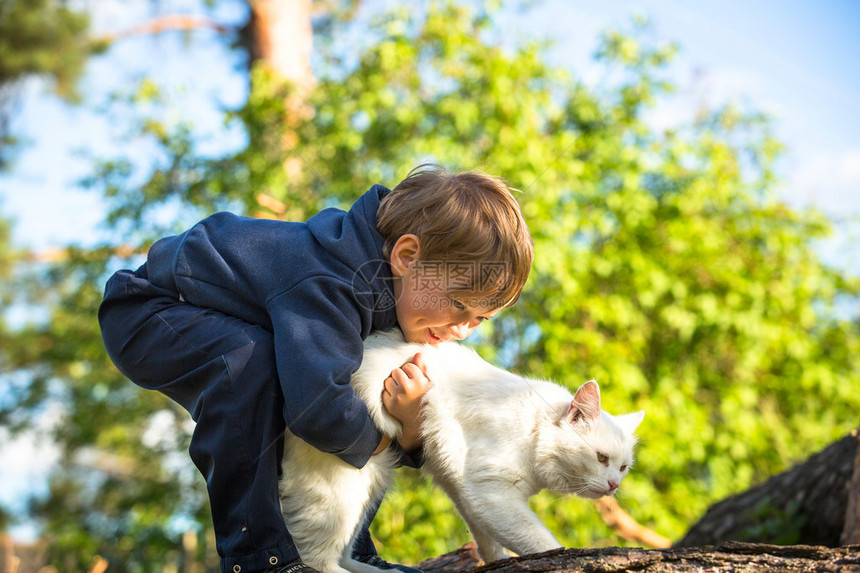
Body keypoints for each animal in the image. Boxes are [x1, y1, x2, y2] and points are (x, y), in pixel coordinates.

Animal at [278, 330, 640, 572]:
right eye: (601, 458)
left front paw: (495, 562)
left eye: (623, 468)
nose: (613, 486)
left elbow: (489, 540)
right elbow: (539, 541)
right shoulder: (490, 490)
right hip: (348, 487)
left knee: (342, 552)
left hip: (371, 485)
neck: (535, 428)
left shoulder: (467, 490)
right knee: (317, 558)